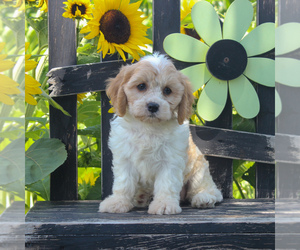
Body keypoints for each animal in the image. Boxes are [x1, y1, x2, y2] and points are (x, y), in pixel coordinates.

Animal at [99, 53, 223, 215]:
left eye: (167, 90)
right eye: (141, 86)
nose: (153, 106)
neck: (148, 127)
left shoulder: (170, 160)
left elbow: (166, 183)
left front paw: (164, 204)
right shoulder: (124, 158)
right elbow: (123, 183)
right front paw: (118, 202)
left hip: (199, 170)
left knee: (206, 189)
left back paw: (204, 198)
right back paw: (141, 197)